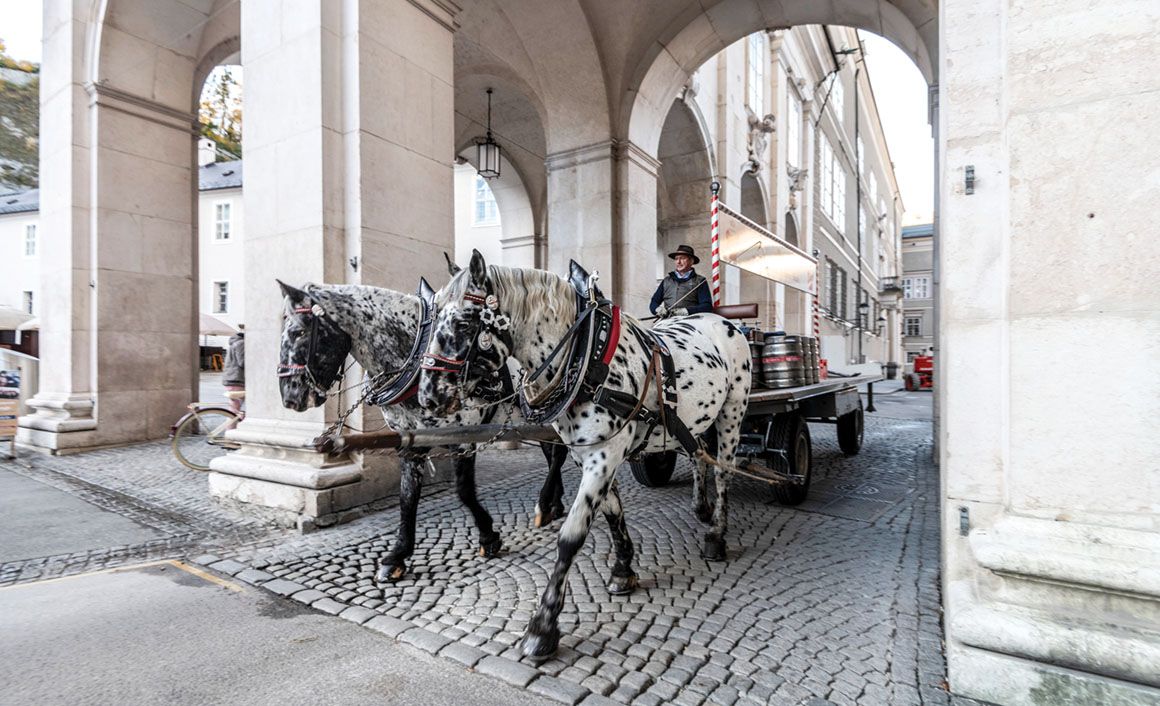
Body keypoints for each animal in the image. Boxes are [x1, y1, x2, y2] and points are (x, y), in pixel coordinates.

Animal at [280, 280, 570, 584]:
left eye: (299, 332)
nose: (289, 397)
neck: (416, 359)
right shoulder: (410, 443)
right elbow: (407, 496)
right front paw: (397, 556)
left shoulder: (464, 439)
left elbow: (464, 491)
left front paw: (488, 536)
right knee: (553, 454)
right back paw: (554, 503)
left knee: (558, 455)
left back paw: (544, 504)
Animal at [417, 249, 751, 653]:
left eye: (464, 320)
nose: (428, 396)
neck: (587, 354)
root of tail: (723, 321)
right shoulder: (590, 453)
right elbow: (612, 513)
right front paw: (623, 569)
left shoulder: (604, 455)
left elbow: (572, 535)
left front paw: (543, 625)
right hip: (695, 419)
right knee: (699, 451)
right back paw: (700, 507)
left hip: (732, 412)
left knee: (723, 470)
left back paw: (716, 534)